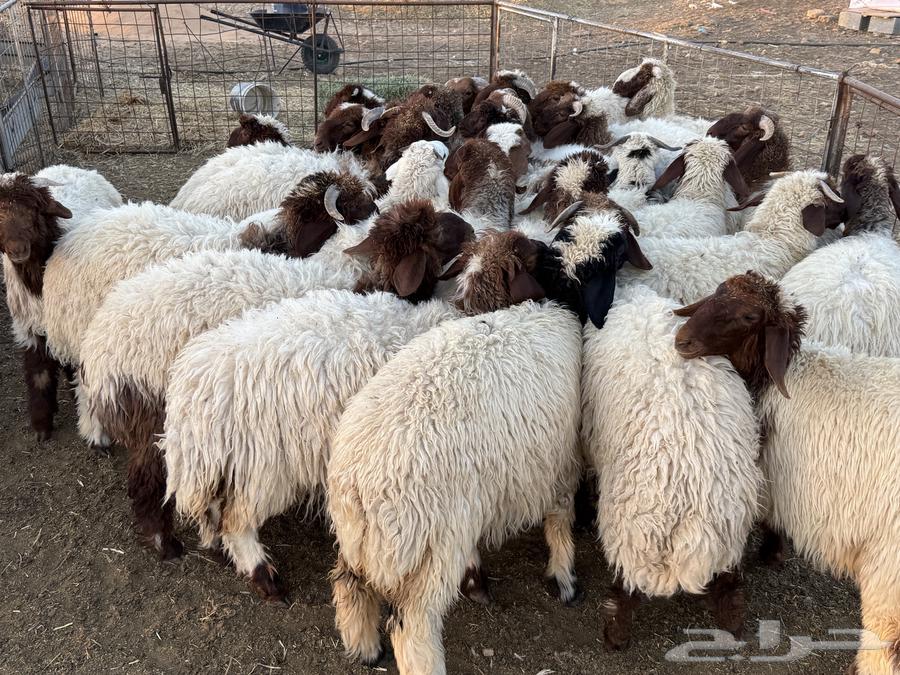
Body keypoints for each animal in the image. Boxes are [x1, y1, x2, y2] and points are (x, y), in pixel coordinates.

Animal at [160, 201, 473, 600]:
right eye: (435, 233)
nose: (471, 229)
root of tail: (191, 401)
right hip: (262, 468)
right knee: (236, 521)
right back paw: (264, 575)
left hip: (222, 466)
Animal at [582, 284, 761, 649]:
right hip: (730, 528)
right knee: (727, 579)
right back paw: (733, 622)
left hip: (631, 531)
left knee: (625, 585)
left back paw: (615, 634)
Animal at [673, 270, 900, 675]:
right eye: (717, 292)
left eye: (749, 317)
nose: (681, 341)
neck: (777, 378)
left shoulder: (769, 470)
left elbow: (768, 515)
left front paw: (771, 552)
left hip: (888, 570)